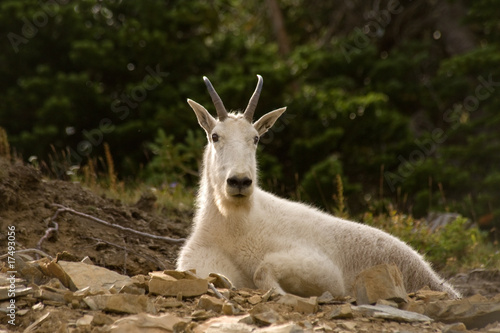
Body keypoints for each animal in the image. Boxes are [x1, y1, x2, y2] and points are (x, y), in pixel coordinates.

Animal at [176, 74, 460, 298]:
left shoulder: (323, 269)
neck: (234, 223)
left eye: (255, 138)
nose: (239, 182)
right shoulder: (197, 262)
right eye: (215, 136)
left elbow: (262, 271)